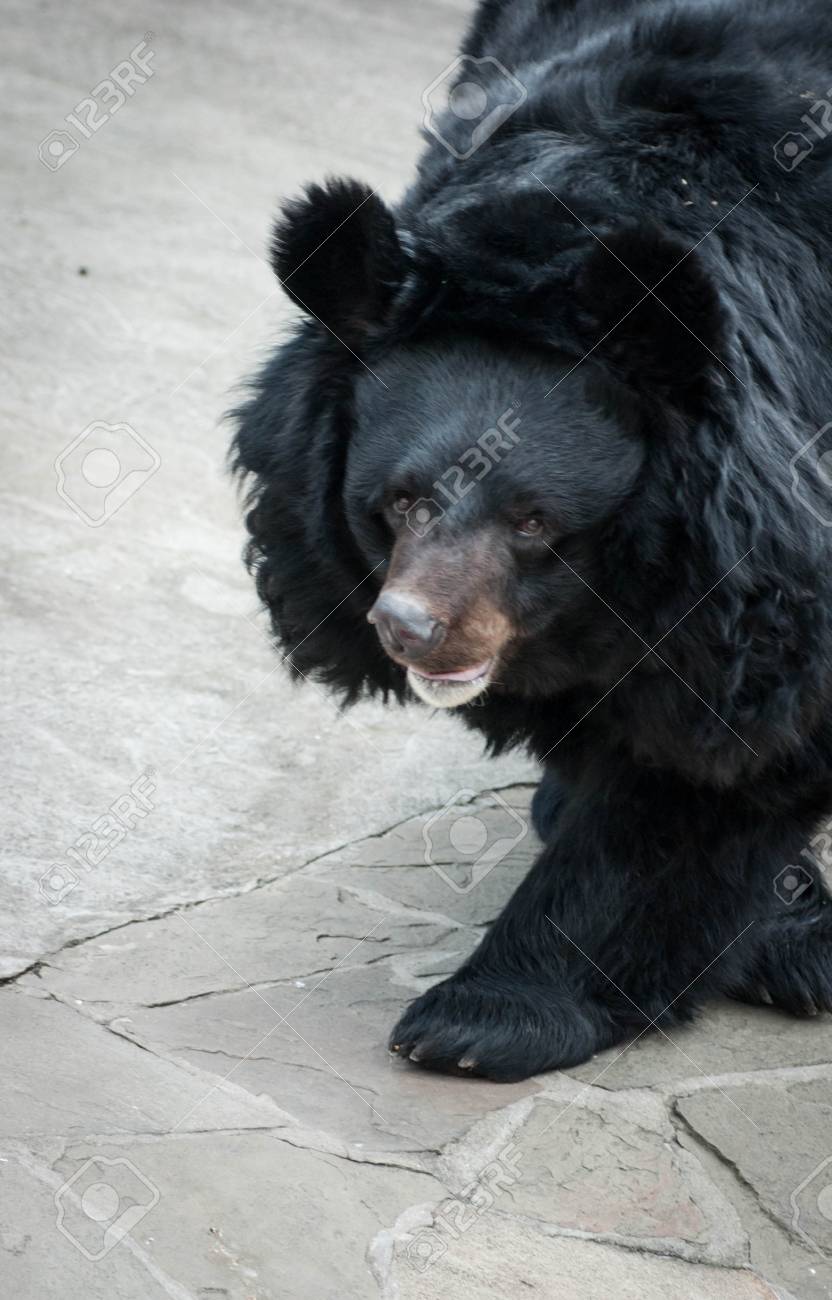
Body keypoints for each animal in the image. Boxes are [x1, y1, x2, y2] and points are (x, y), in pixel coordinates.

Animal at [231, 0, 832, 1081]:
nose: (410, 627)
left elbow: (697, 784)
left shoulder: (756, 566)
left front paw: (475, 1021)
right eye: (398, 502)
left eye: (533, 521)